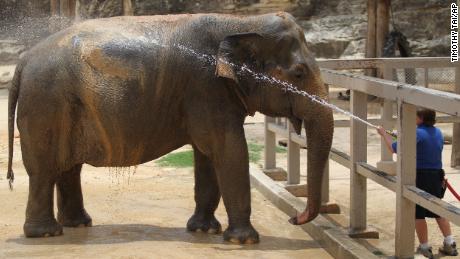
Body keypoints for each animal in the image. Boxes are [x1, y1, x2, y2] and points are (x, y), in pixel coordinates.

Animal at [7, 11, 334, 244]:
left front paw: (204, 231)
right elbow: (229, 150)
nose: (295, 219)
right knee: (44, 170)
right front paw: (243, 241)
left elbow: (208, 155)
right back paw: (46, 234)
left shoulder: (208, 96)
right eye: (299, 74)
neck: (241, 23)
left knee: (68, 168)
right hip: (46, 104)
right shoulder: (205, 88)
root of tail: (23, 60)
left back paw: (77, 224)